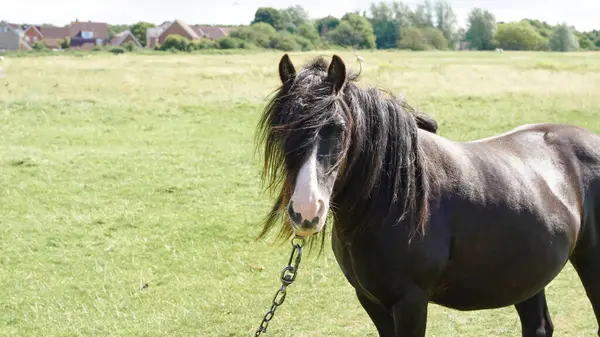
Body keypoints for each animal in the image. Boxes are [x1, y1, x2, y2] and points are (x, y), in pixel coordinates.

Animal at [255, 53, 600, 334]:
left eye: (338, 128)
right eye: (280, 129)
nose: (306, 210)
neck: (391, 200)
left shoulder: (410, 302)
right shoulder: (371, 301)